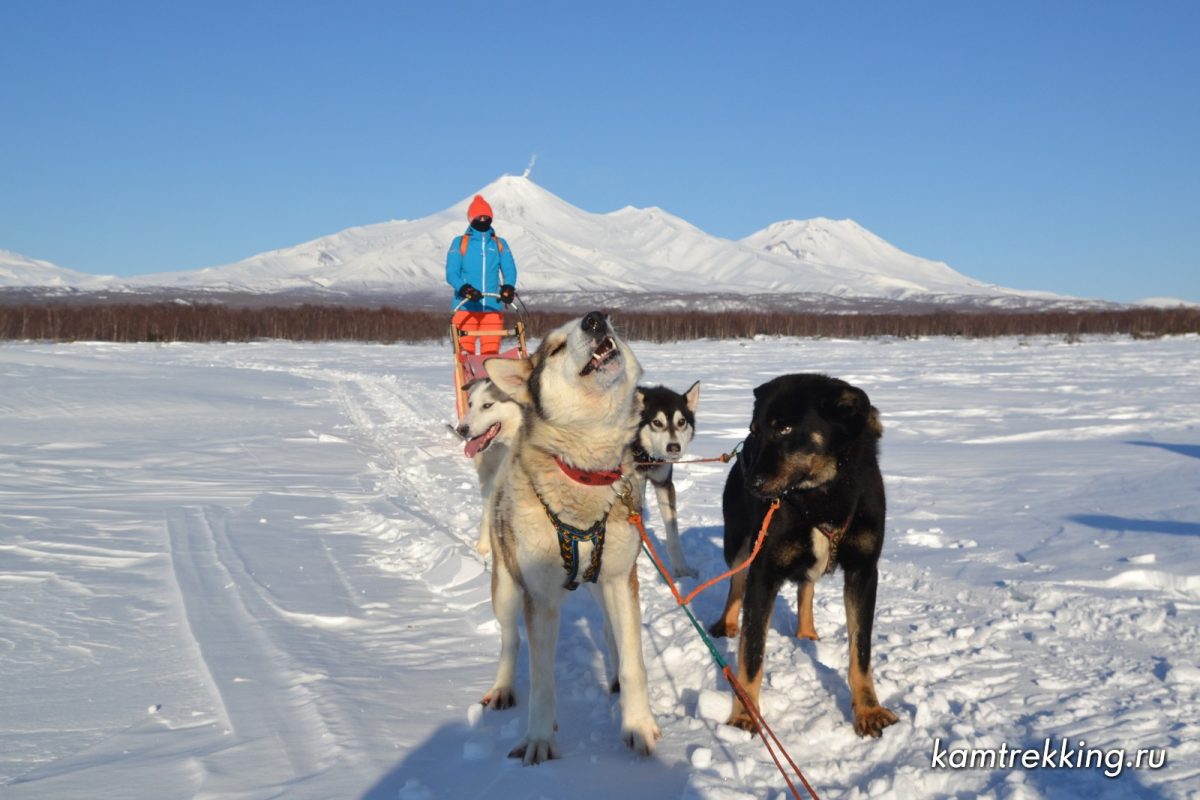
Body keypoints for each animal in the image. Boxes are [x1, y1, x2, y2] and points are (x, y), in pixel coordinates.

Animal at [482, 311, 662, 762]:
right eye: (556, 348)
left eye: (603, 322)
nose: (597, 319)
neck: (585, 471)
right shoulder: (540, 598)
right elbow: (542, 679)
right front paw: (539, 738)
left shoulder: (620, 579)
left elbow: (633, 662)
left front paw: (637, 724)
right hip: (506, 587)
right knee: (510, 641)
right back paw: (502, 688)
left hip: (601, 585)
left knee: (610, 632)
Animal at [633, 383, 700, 578]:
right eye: (657, 422)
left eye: (681, 422)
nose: (674, 447)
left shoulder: (664, 484)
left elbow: (673, 533)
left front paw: (682, 570)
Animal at [705, 376, 897, 738]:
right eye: (755, 429)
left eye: (785, 428)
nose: (751, 481)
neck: (819, 497)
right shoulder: (763, 573)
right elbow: (752, 652)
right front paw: (745, 716)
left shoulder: (864, 572)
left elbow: (861, 651)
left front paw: (868, 710)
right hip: (739, 545)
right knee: (735, 584)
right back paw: (727, 623)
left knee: (806, 585)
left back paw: (807, 632)